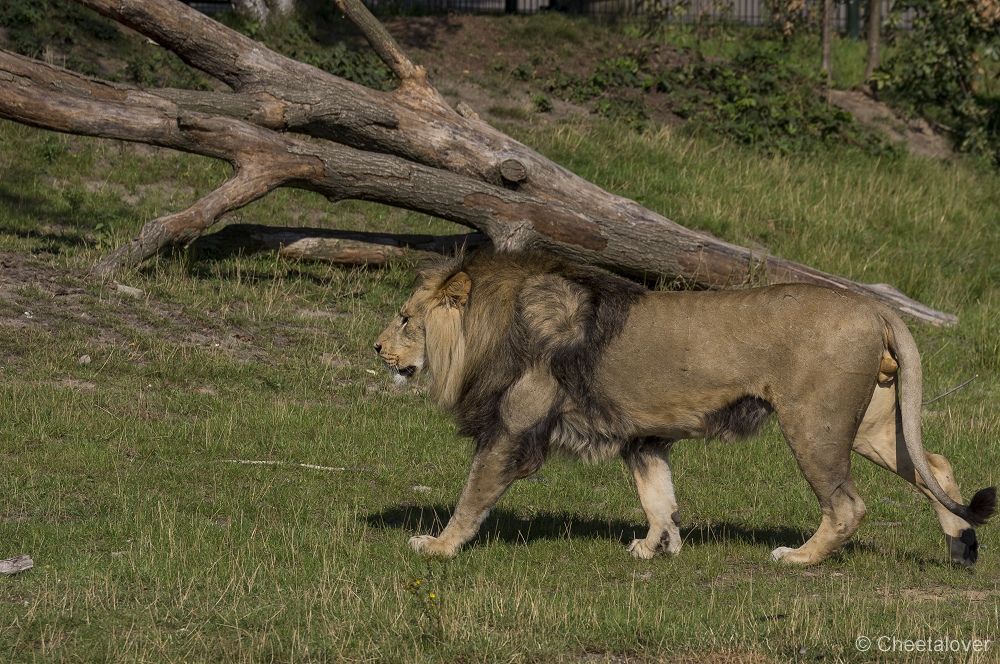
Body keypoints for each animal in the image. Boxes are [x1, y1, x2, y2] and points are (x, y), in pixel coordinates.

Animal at [374, 249, 992, 564]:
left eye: (405, 318)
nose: (376, 348)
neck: (492, 324)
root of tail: (873, 305)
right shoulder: (642, 439)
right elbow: (659, 498)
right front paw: (656, 548)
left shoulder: (512, 428)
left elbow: (472, 493)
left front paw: (438, 546)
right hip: (868, 424)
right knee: (936, 467)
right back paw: (961, 547)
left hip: (814, 423)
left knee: (847, 505)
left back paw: (798, 559)